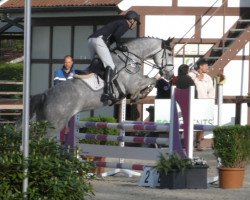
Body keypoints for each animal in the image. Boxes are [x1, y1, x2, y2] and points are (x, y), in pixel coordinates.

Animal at [24, 37, 174, 136]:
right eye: (170, 54)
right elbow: (151, 81)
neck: (129, 59)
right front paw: (141, 94)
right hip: (55, 124)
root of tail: (44, 95)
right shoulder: (134, 83)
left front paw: (139, 95)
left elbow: (151, 80)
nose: (171, 74)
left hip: (43, 120)